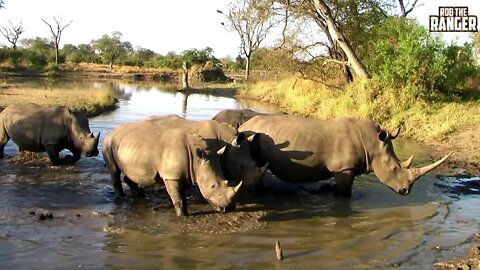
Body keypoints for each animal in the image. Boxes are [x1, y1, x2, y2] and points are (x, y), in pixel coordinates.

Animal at [102, 121, 242, 216]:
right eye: (213, 186)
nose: (229, 208)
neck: (197, 160)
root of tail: (113, 131)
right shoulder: (171, 176)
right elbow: (177, 196)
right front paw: (183, 215)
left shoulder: (186, 173)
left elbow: (181, 193)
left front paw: (184, 211)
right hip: (109, 142)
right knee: (114, 171)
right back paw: (121, 198)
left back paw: (141, 195)